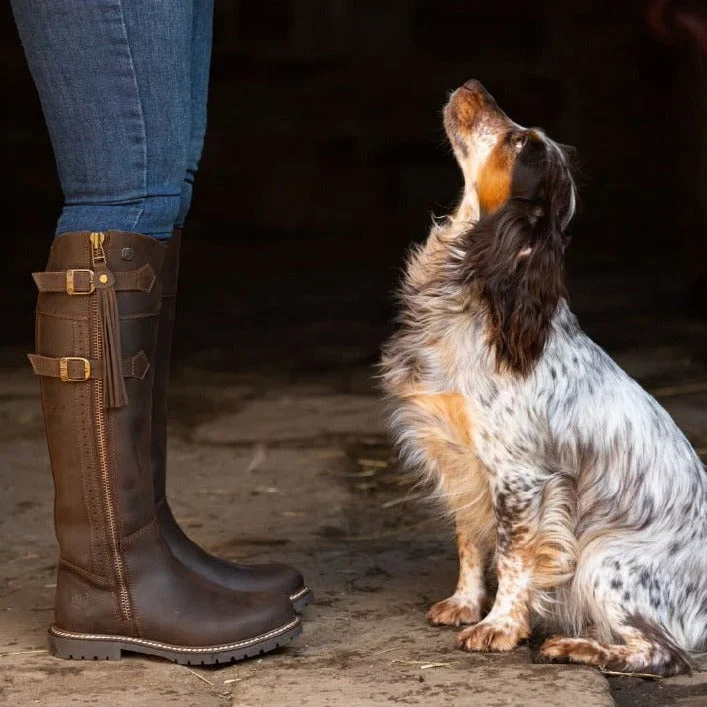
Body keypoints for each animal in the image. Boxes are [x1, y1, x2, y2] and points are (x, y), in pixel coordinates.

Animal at [382, 77, 707, 676]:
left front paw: (499, 627)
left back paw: (576, 647)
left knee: (662, 654)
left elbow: (514, 557)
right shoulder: (464, 461)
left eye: (516, 141)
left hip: (604, 559)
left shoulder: (521, 477)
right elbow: (470, 538)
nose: (472, 84)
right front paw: (465, 604)